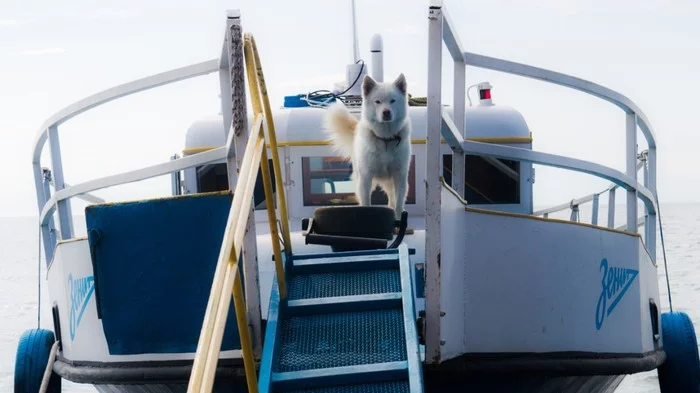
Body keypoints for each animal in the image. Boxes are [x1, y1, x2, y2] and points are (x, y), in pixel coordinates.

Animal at [326, 73, 412, 217]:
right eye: (377, 102)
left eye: (393, 101)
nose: (386, 112)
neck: (385, 138)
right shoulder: (366, 177)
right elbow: (366, 202)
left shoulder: (399, 175)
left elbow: (399, 202)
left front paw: (398, 217)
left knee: (392, 198)